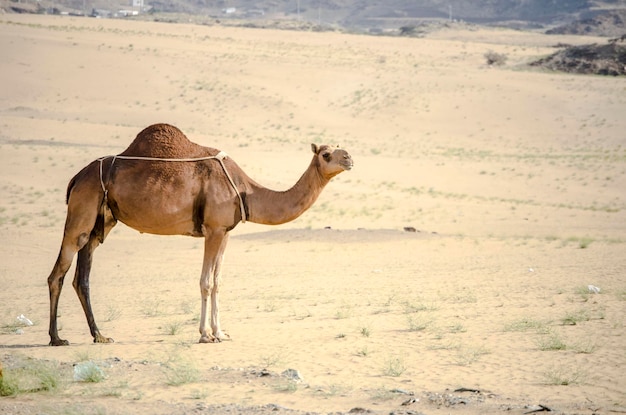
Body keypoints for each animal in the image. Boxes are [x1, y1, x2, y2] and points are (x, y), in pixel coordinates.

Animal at [47, 124, 352, 348]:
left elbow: (218, 281)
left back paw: (99, 335)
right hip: (81, 211)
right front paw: (206, 334)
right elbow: (206, 282)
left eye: (338, 148)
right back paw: (57, 338)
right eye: (326, 154)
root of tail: (76, 178)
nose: (349, 157)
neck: (244, 189)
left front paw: (221, 332)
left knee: (82, 277)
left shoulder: (225, 231)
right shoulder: (213, 229)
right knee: (58, 273)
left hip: (102, 221)